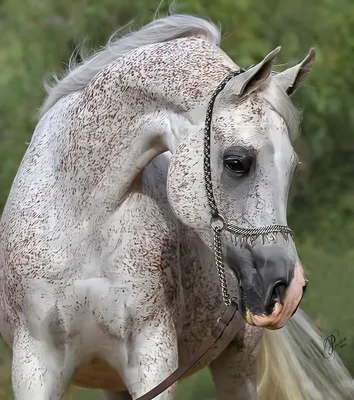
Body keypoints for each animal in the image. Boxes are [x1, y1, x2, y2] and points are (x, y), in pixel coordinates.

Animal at [0, 12, 354, 400]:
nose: (287, 290)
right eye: (236, 162)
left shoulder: (153, 358)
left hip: (237, 364)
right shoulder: (35, 366)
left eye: (291, 167)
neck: (82, 222)